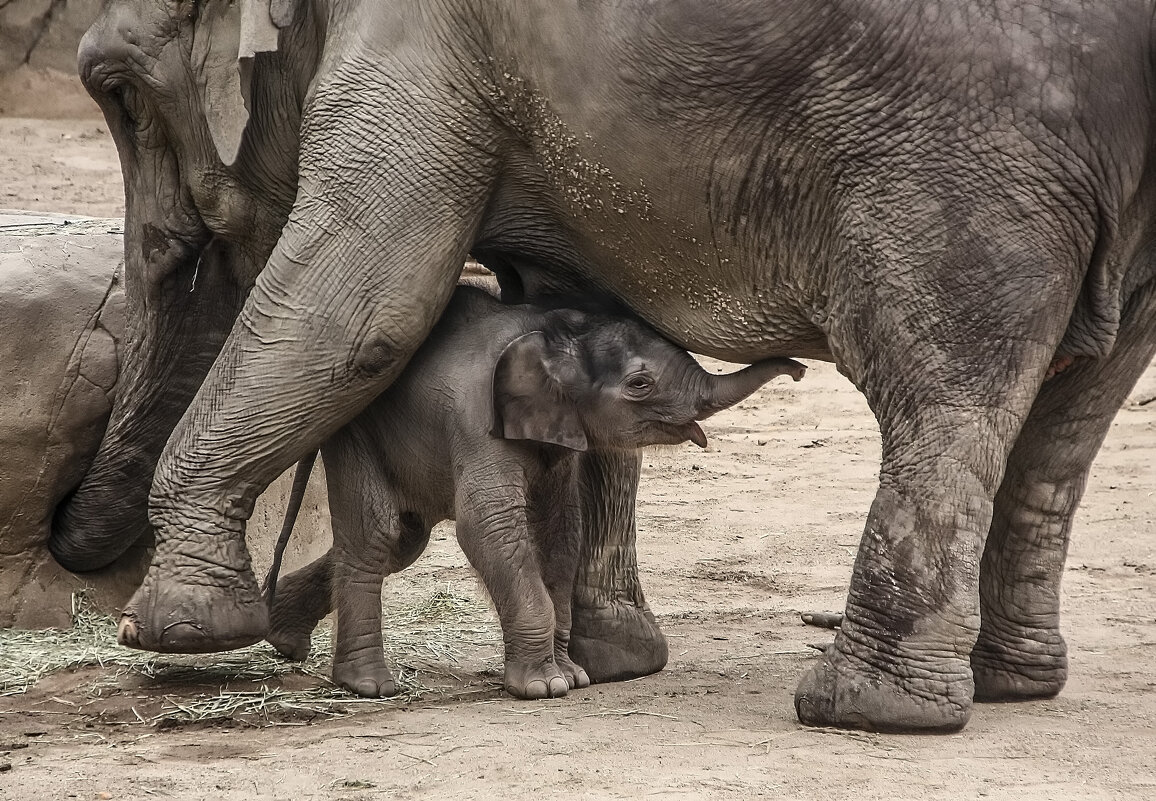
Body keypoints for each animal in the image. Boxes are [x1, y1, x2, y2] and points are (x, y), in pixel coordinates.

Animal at [267, 284, 804, 698]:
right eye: (640, 384)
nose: (798, 369)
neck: (551, 333)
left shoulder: (559, 437)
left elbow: (561, 531)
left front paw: (573, 675)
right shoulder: (477, 423)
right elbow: (489, 525)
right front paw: (544, 687)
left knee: (404, 541)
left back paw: (282, 636)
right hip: (356, 426)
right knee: (376, 536)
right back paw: (368, 686)